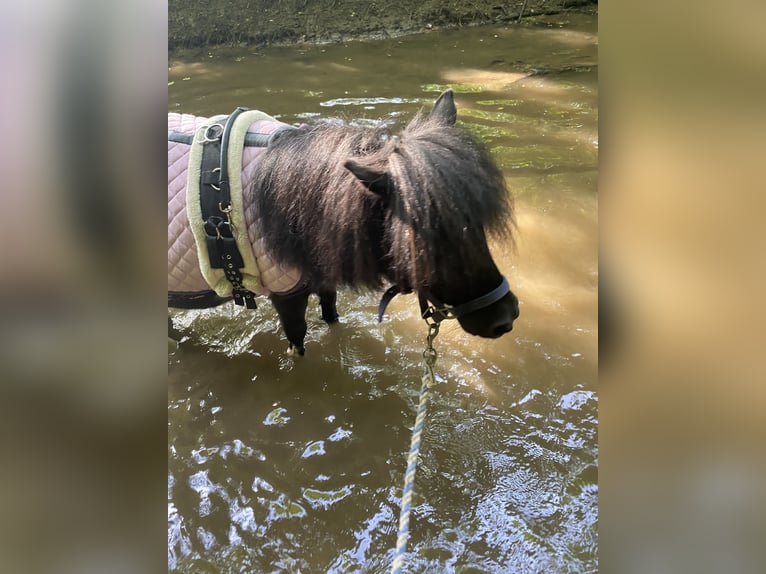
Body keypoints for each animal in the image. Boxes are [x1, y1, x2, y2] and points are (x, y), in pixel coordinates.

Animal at [169, 90, 520, 356]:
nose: (506, 317)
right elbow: (298, 339)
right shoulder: (287, 295)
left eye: (478, 224)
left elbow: (331, 315)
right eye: (431, 241)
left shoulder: (322, 279)